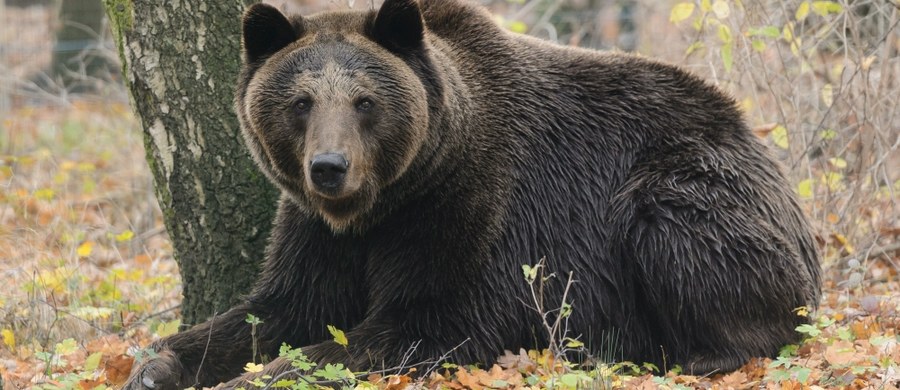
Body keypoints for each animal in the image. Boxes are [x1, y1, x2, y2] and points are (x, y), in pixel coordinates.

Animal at [123, 0, 820, 386]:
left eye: (365, 101)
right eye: (300, 102)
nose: (328, 167)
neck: (387, 201)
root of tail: (760, 144)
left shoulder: (471, 210)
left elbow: (421, 322)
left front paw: (264, 378)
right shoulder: (318, 232)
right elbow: (276, 309)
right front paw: (154, 366)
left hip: (685, 185)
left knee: (686, 237)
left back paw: (694, 356)